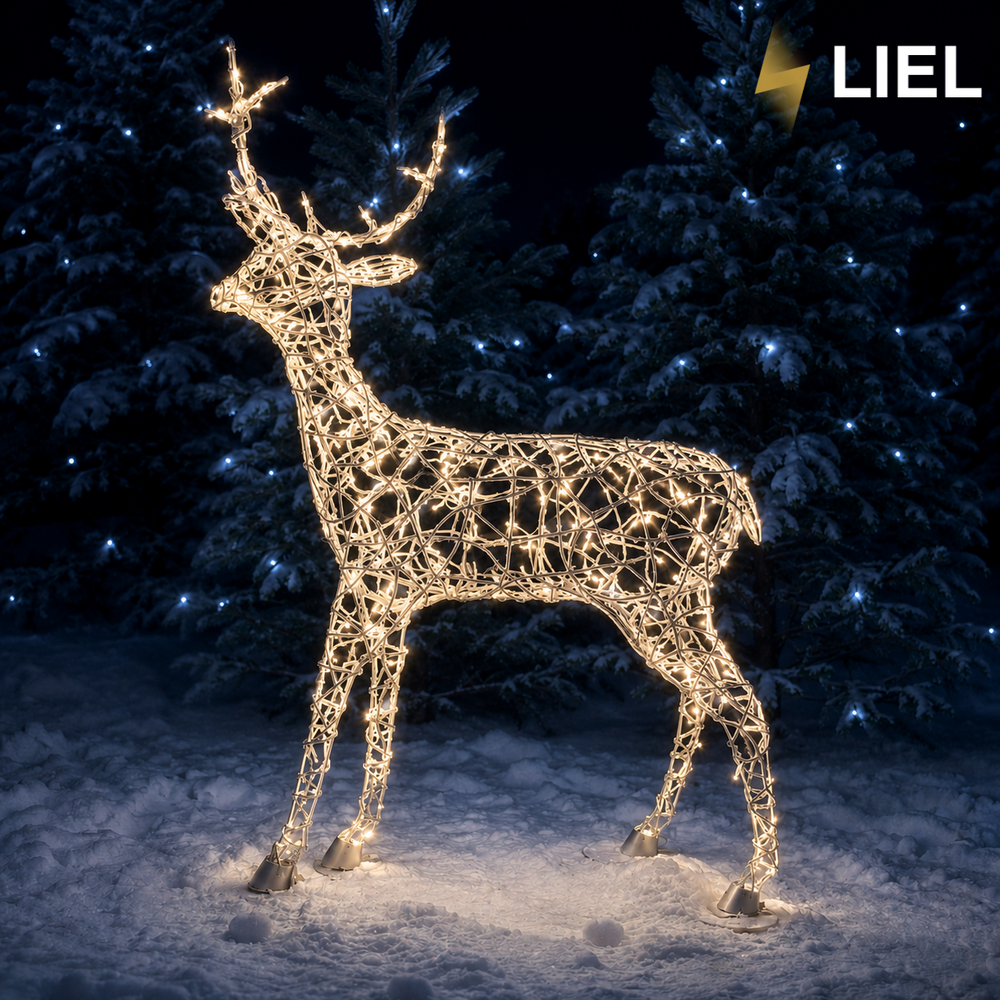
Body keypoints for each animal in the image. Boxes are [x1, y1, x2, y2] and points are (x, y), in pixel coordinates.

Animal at [206, 41, 778, 918]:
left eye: (303, 267)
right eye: (263, 254)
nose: (222, 290)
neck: (349, 461)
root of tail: (735, 495)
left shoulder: (363, 578)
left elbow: (326, 713)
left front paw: (280, 860)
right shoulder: (401, 595)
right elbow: (382, 714)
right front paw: (351, 843)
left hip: (654, 592)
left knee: (740, 703)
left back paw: (748, 886)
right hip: (677, 598)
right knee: (703, 694)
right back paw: (648, 836)